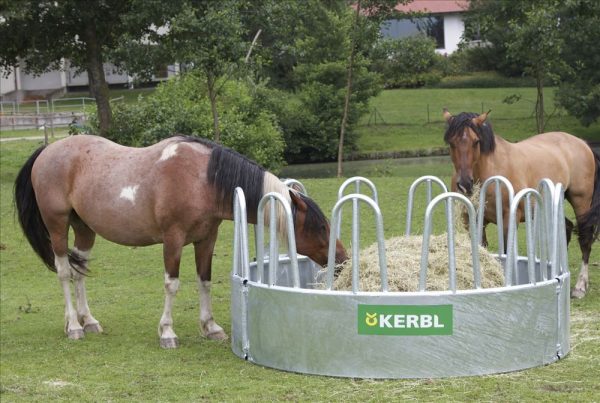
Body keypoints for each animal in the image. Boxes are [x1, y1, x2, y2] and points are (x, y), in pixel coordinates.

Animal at [14, 135, 346, 348]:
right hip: (58, 226)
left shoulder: (206, 239)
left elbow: (205, 281)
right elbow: (172, 284)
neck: (202, 179)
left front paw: (211, 327)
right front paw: (167, 332)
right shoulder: (172, 240)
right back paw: (73, 326)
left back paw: (89, 321)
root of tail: (47, 150)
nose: (342, 259)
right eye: (320, 227)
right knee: (64, 272)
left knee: (79, 271)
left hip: (84, 229)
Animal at [442, 110, 600, 300]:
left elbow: (505, 253)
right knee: (567, 227)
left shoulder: (508, 219)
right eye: (451, 142)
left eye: (476, 141)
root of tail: (583, 143)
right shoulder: (471, 220)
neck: (490, 171)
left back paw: (579, 287)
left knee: (585, 239)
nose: (465, 184)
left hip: (581, 200)